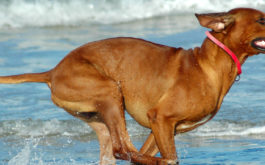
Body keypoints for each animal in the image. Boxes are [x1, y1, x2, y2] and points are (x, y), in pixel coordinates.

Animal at [0, 7, 264, 164]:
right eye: (261, 18)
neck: (207, 65)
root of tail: (53, 72)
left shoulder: (162, 128)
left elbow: (146, 150)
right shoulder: (161, 118)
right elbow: (164, 153)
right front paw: (167, 159)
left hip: (99, 118)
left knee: (118, 150)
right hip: (109, 91)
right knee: (123, 149)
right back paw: (160, 161)